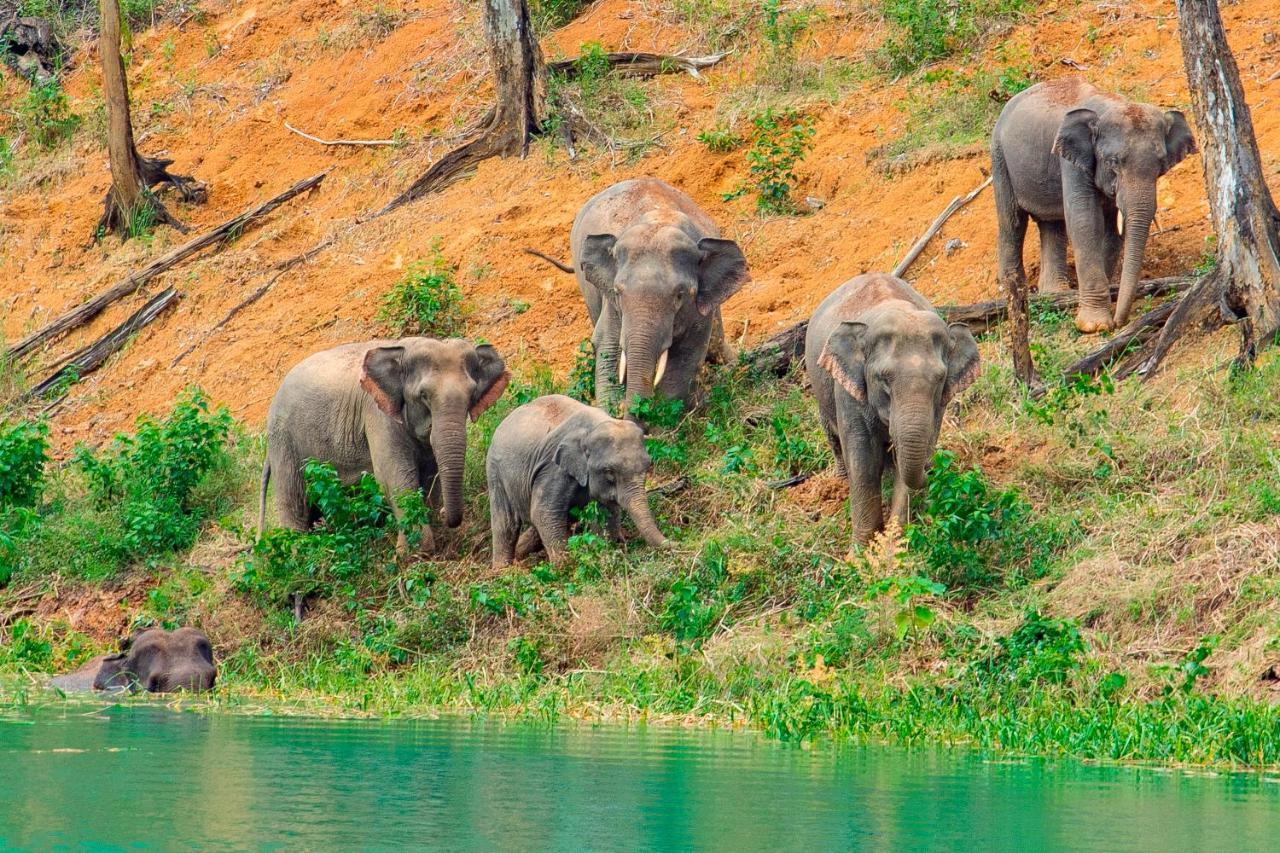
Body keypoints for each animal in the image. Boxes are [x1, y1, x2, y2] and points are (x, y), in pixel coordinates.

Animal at [483, 389, 670, 563]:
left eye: (647, 466)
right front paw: (565, 566)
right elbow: (543, 512)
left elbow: (607, 511)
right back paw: (502, 569)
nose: (671, 542)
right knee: (506, 522)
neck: (596, 425)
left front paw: (602, 553)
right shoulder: (553, 469)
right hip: (495, 471)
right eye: (609, 472)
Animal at [527, 175, 747, 409]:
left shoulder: (698, 309)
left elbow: (685, 360)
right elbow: (607, 346)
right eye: (617, 292)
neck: (660, 218)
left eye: (680, 295)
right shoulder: (612, 303)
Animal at [803, 274, 983, 545]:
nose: (931, 471)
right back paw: (842, 480)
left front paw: (892, 543)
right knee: (833, 436)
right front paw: (861, 550)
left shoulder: (937, 407)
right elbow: (863, 460)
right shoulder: (848, 392)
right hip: (820, 389)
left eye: (940, 379)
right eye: (883, 378)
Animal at [988, 76, 1198, 330]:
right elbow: (1085, 221)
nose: (1119, 322)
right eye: (1113, 161)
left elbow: (1112, 230)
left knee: (1052, 224)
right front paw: (1094, 326)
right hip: (999, 157)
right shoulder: (1071, 162)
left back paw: (1054, 293)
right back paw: (1009, 289)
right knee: (1012, 221)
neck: (1111, 104)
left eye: (1160, 165)